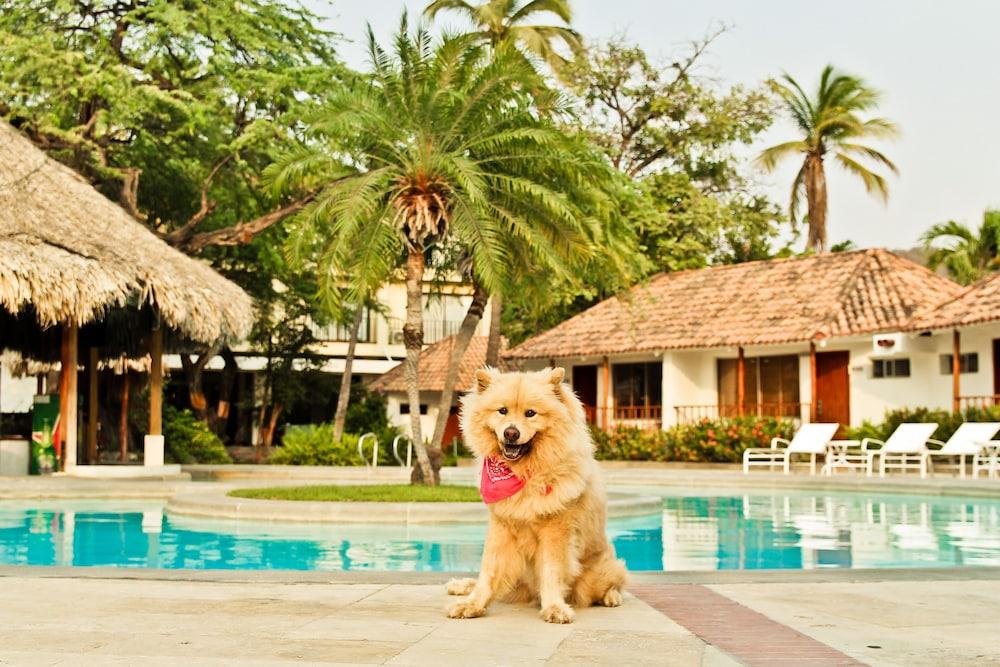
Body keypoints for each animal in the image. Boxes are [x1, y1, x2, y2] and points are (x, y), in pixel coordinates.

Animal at [450, 368, 628, 624]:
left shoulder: (555, 530)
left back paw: (612, 597)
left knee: (616, 582)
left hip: (597, 574)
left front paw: (554, 607)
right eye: (502, 411)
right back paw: (461, 586)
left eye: (531, 413)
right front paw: (473, 604)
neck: (524, 473)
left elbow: (551, 572)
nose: (511, 432)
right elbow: (488, 571)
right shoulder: (501, 527)